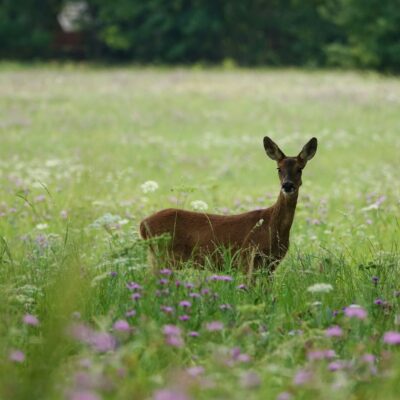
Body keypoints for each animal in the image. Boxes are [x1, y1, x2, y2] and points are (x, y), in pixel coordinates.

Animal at [139, 138, 318, 276]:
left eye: (300, 169)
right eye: (279, 168)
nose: (287, 185)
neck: (272, 226)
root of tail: (142, 224)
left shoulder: (270, 265)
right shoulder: (248, 259)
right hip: (164, 256)